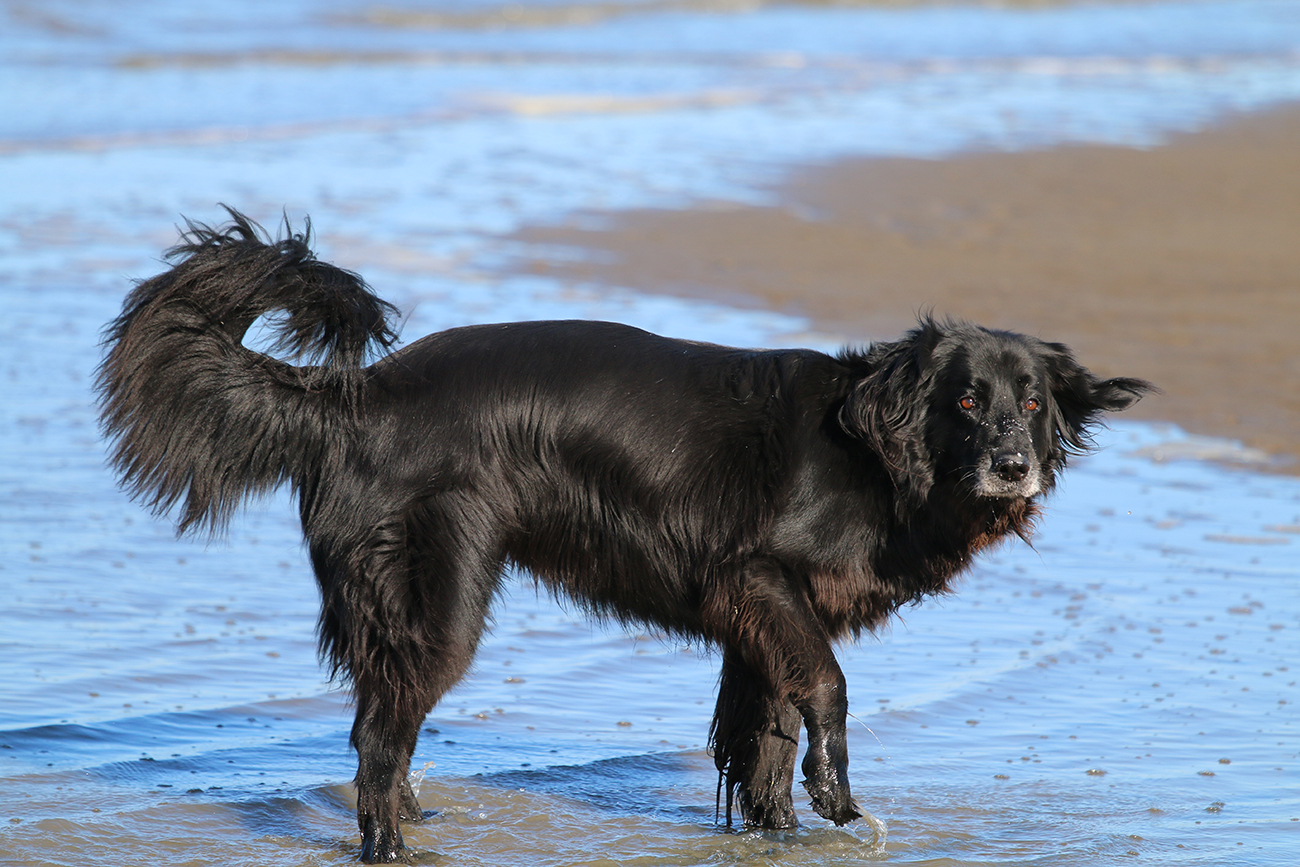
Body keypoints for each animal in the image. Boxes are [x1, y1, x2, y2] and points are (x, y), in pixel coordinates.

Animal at [96, 209, 1152, 862]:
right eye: (967, 399)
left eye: (1034, 401)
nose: (1013, 464)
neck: (876, 450)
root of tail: (351, 394)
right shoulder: (756, 577)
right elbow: (827, 691)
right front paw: (839, 793)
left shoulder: (756, 630)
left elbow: (761, 747)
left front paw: (780, 827)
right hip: (440, 602)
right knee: (377, 741)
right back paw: (395, 846)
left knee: (379, 736)